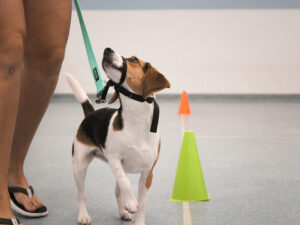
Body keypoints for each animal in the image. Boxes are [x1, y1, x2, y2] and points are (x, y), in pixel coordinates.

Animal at [65, 48, 170, 225]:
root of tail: (91, 113)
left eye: (134, 60)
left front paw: (137, 219)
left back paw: (123, 212)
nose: (107, 49)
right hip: (79, 165)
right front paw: (131, 203)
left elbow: (142, 203)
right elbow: (125, 182)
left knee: (116, 191)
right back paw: (84, 216)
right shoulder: (114, 158)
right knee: (81, 195)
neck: (136, 121)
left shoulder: (148, 173)